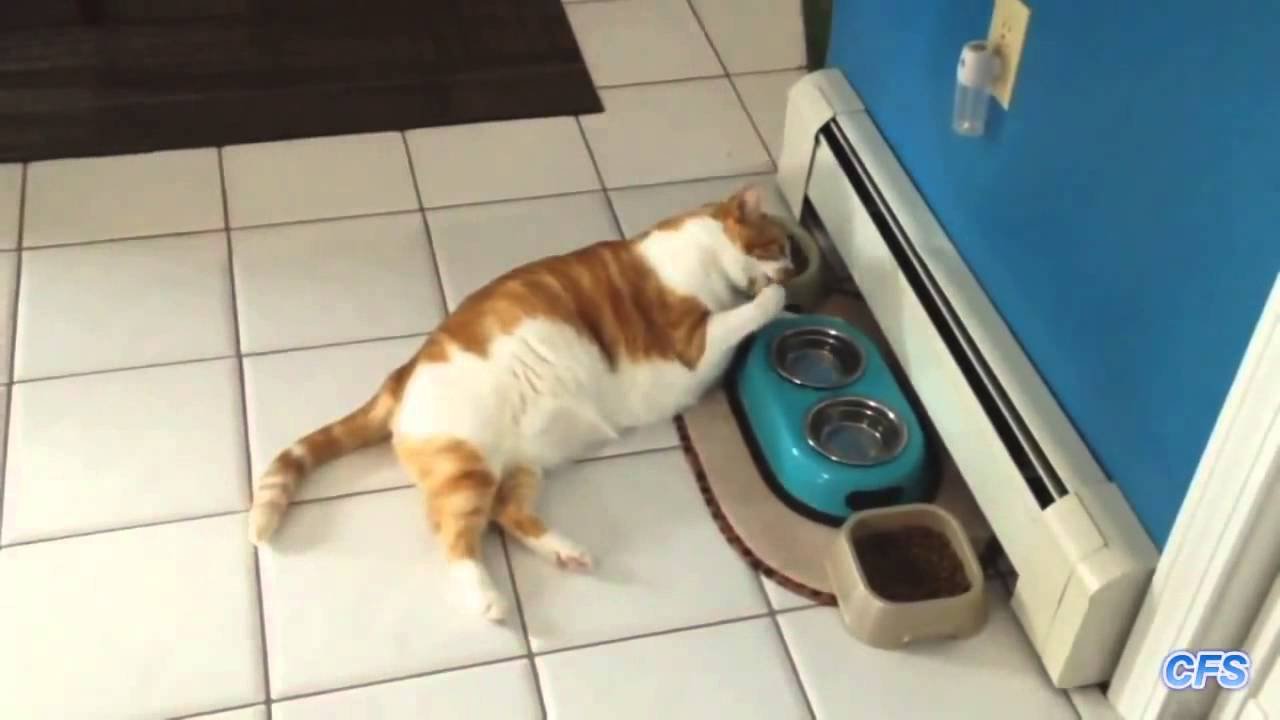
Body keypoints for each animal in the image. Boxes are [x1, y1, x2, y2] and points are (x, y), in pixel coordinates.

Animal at [247, 184, 795, 621]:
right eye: (780, 246)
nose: (793, 269)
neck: (703, 247)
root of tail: (400, 376)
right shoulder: (692, 341)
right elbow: (746, 314)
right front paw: (777, 298)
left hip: (522, 467)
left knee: (506, 513)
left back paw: (565, 552)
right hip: (467, 468)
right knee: (455, 537)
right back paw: (488, 600)